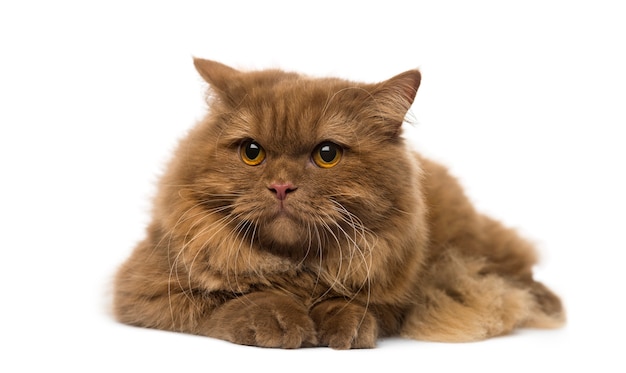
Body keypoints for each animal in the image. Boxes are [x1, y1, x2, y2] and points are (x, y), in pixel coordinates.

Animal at [112, 58, 564, 348]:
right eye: (252, 152)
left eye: (327, 154)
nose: (281, 186)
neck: (295, 269)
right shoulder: (143, 292)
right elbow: (232, 300)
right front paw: (279, 318)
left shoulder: (396, 299)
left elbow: (353, 304)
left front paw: (337, 323)